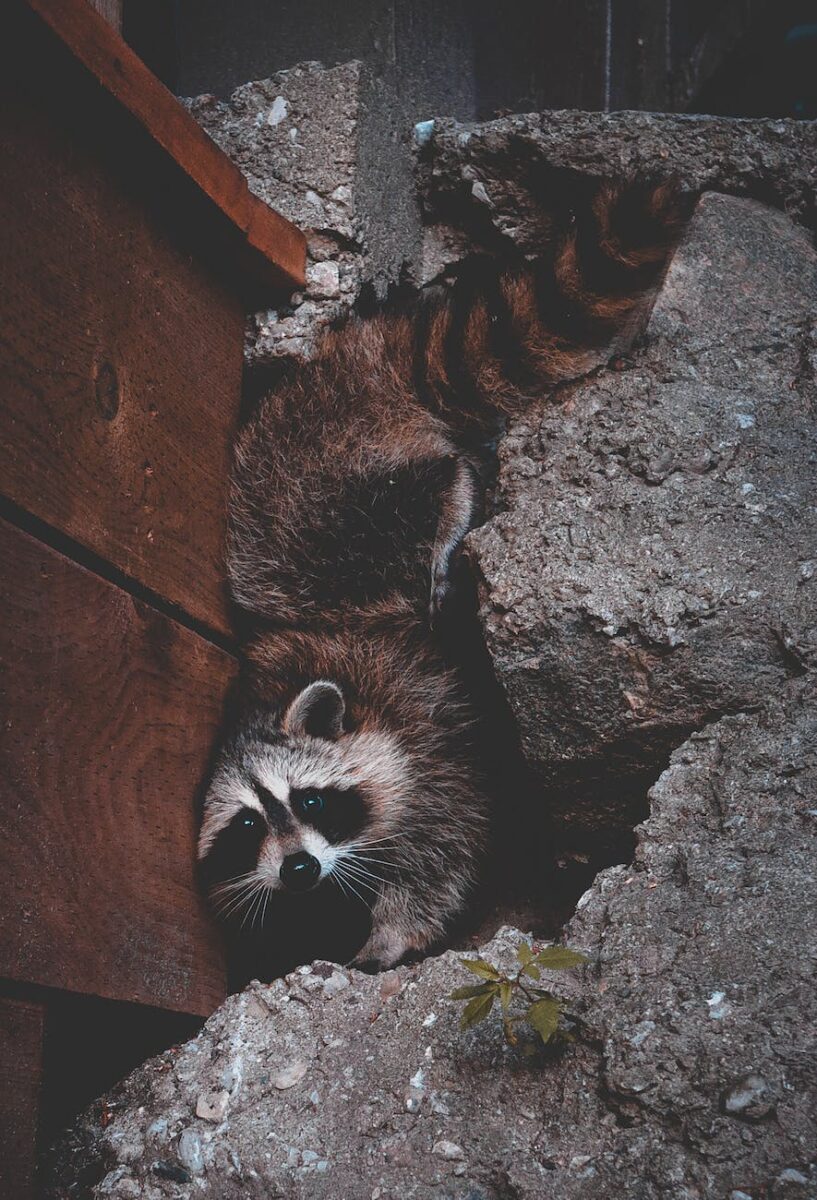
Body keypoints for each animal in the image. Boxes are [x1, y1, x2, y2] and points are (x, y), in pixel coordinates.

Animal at [198, 178, 687, 970]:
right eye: (245, 826)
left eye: (308, 800)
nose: (298, 868)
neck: (261, 700)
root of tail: (338, 377)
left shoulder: (427, 739)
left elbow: (444, 841)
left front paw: (391, 933)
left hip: (336, 510)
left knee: (421, 493)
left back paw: (451, 500)